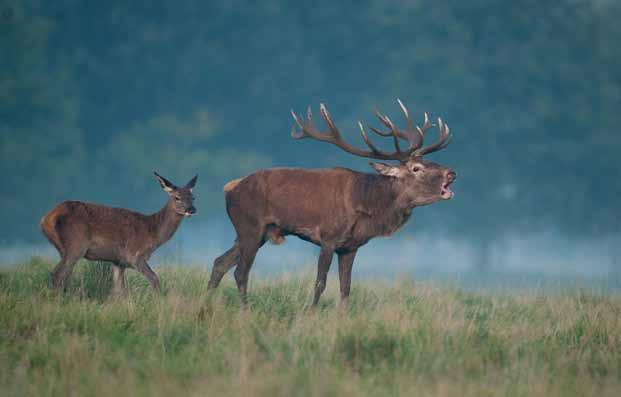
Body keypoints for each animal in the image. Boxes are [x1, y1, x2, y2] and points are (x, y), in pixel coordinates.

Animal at [40, 172, 196, 292]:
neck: (153, 232)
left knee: (63, 276)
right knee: (58, 275)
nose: (191, 209)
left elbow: (118, 290)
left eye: (193, 197)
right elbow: (154, 278)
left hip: (63, 248)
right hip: (76, 244)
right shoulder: (134, 255)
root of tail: (46, 219)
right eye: (177, 197)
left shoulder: (118, 261)